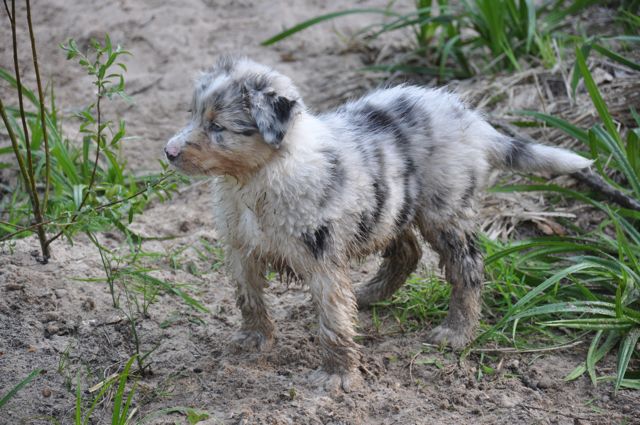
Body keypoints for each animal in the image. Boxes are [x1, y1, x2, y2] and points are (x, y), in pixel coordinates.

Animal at [164, 56, 592, 390]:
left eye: (218, 128)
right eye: (193, 115)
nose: (167, 152)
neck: (257, 178)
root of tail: (471, 119)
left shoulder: (321, 256)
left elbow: (333, 319)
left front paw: (336, 376)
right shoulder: (241, 249)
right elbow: (248, 298)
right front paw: (253, 339)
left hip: (445, 211)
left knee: (467, 267)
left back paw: (456, 333)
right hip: (388, 208)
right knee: (408, 251)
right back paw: (368, 295)